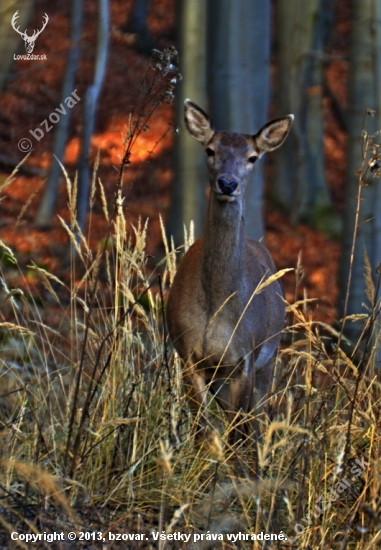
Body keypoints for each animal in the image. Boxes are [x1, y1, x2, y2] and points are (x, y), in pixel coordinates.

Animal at [165, 100, 292, 448]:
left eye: (252, 157)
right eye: (210, 150)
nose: (228, 183)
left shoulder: (245, 359)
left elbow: (238, 435)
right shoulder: (189, 357)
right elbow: (202, 433)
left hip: (270, 358)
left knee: (257, 422)